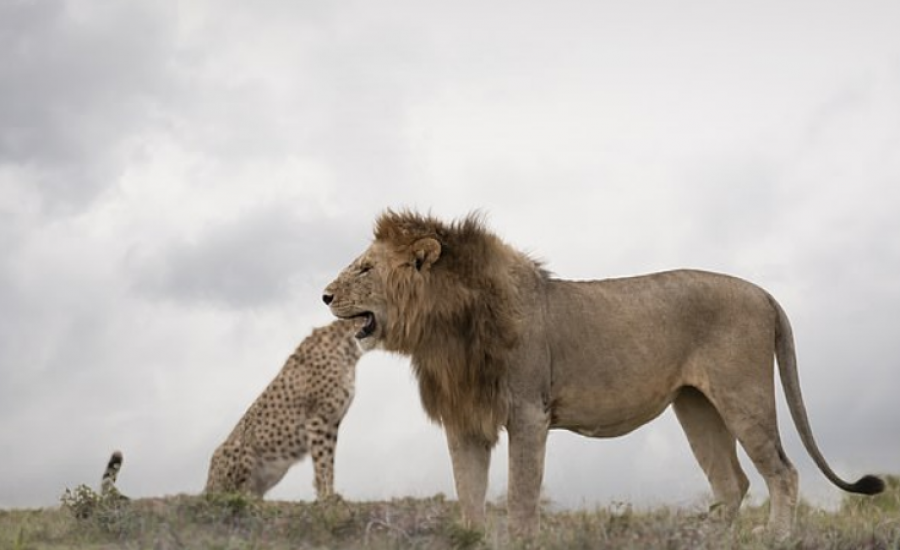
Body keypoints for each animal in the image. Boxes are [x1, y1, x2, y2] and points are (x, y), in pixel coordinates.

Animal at [206, 316, 368, 502]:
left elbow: (329, 461)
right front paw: (325, 496)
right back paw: (244, 498)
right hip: (237, 448)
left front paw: (330, 494)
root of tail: (207, 486)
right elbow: (322, 461)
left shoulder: (331, 423)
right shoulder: (319, 419)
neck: (348, 346)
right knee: (232, 491)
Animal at [320, 210, 884, 540]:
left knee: (782, 473)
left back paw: (776, 538)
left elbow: (520, 497)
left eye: (365, 268)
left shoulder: (528, 413)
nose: (324, 295)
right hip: (695, 405)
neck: (445, 330)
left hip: (743, 396)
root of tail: (765, 293)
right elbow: (469, 497)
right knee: (732, 482)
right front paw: (471, 536)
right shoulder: (466, 423)